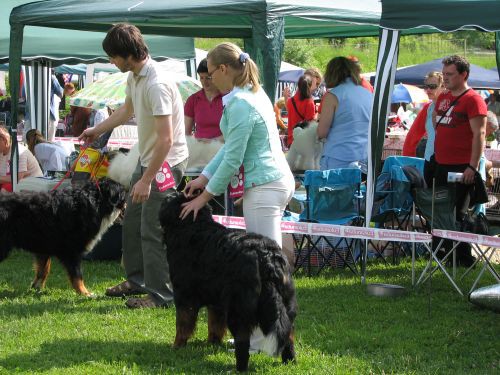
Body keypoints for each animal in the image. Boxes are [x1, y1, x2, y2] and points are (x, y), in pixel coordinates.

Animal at [160, 194, 296, 374]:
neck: (192, 227)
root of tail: (266, 257)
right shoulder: (216, 300)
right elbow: (214, 324)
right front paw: (212, 343)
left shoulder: (184, 294)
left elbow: (182, 324)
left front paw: (177, 345)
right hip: (287, 302)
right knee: (288, 334)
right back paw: (290, 361)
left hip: (238, 308)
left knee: (243, 341)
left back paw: (239, 368)